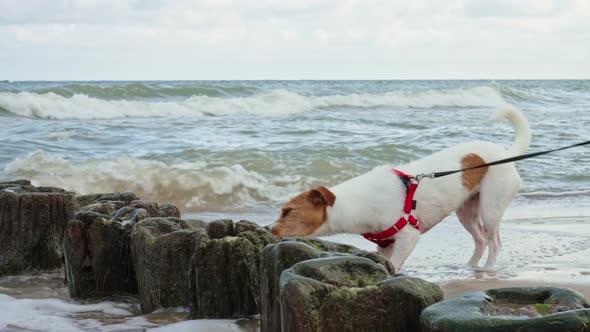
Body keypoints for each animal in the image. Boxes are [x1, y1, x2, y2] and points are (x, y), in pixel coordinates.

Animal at [268, 107, 532, 272]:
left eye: (288, 211)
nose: (269, 230)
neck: (355, 203)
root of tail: (506, 154)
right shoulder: (384, 244)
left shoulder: (408, 236)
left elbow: (395, 266)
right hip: (466, 210)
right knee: (480, 241)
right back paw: (471, 268)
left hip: (490, 207)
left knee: (494, 242)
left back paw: (488, 269)